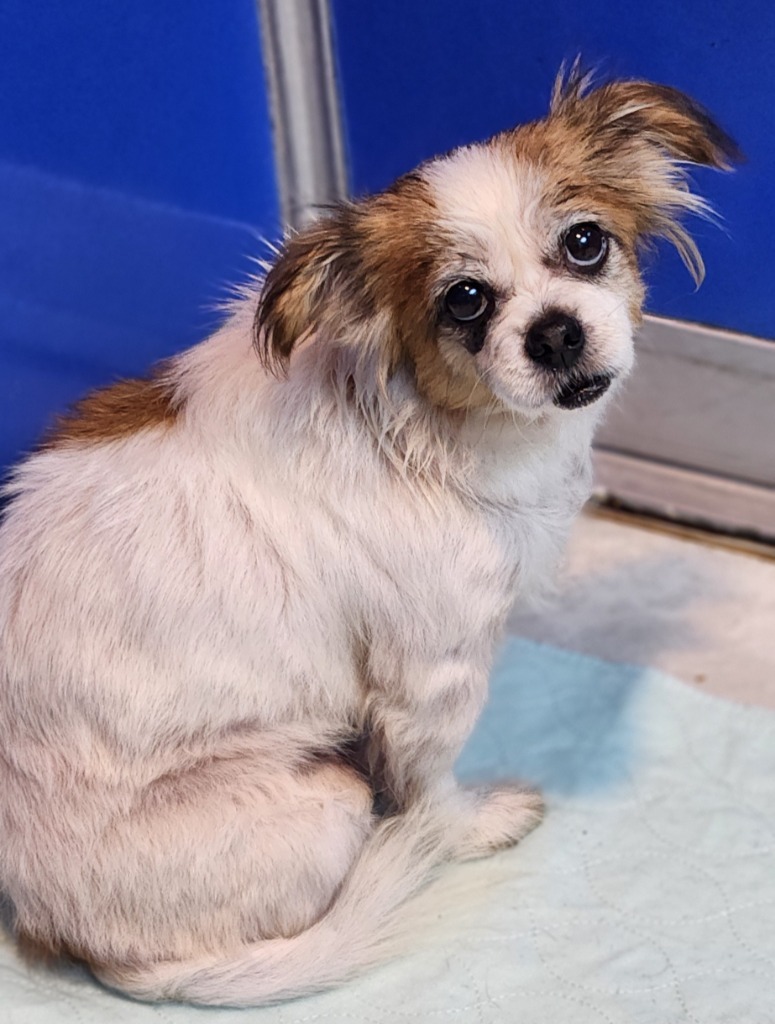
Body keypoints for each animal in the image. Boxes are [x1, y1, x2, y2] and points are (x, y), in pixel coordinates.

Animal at [0, 68, 737, 1003]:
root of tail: (66, 934)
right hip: (327, 797)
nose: (555, 331)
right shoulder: (430, 679)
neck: (430, 428)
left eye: (584, 243)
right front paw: (470, 824)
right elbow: (431, 789)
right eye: (464, 300)